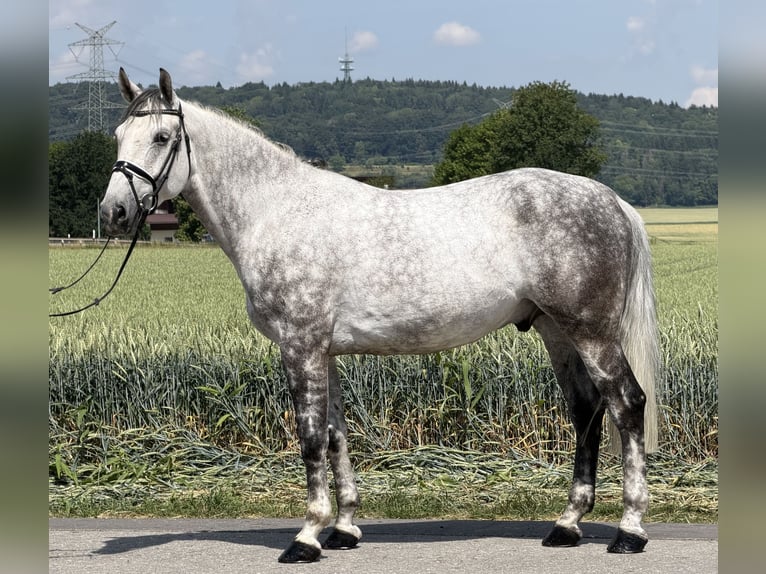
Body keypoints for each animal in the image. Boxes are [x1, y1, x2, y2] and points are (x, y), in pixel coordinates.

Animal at [101, 68, 659, 563]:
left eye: (162, 136)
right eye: (118, 136)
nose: (113, 213)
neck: (277, 211)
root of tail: (611, 200)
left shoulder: (300, 346)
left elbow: (310, 439)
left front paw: (306, 538)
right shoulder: (325, 352)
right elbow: (335, 436)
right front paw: (344, 529)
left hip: (592, 332)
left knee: (626, 403)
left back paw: (629, 531)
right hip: (557, 331)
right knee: (586, 410)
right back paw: (567, 525)